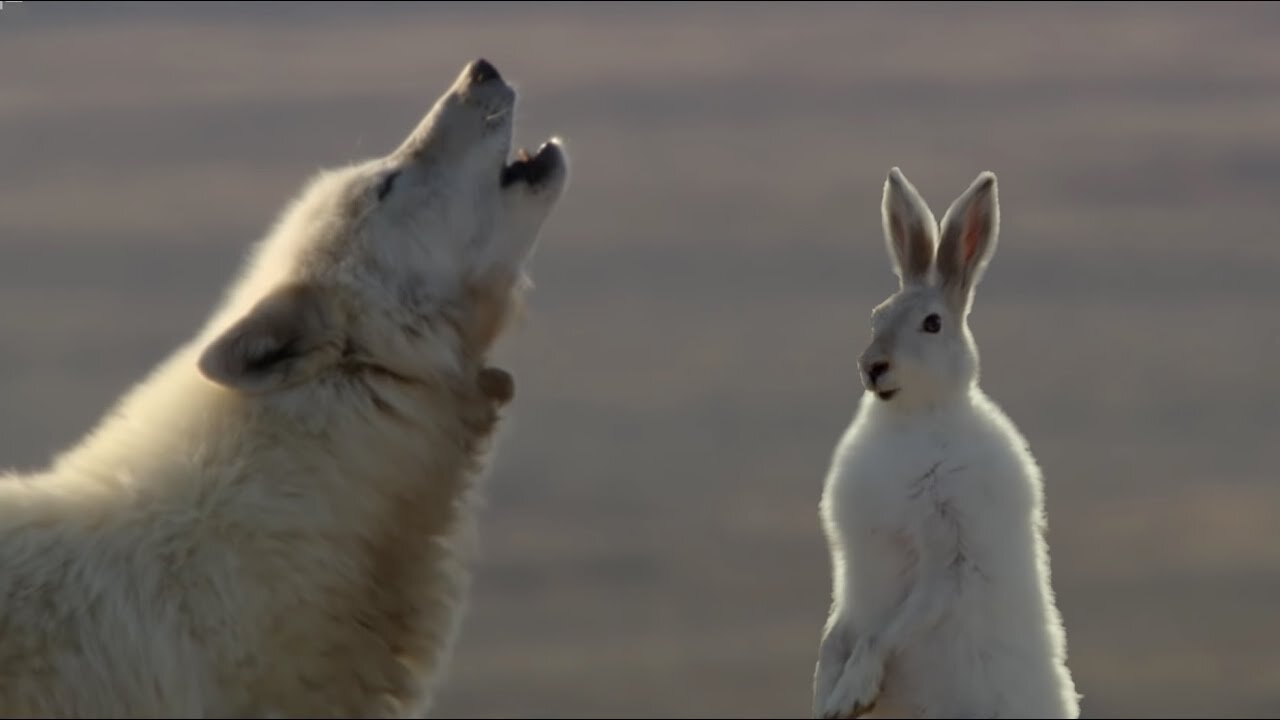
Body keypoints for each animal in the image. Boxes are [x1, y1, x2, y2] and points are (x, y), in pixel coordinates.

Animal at [808, 165, 1080, 712]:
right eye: (876, 316)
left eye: (932, 324)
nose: (872, 366)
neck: (911, 420)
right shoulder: (852, 581)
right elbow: (837, 634)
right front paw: (824, 691)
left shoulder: (947, 555)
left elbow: (880, 635)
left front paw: (850, 696)